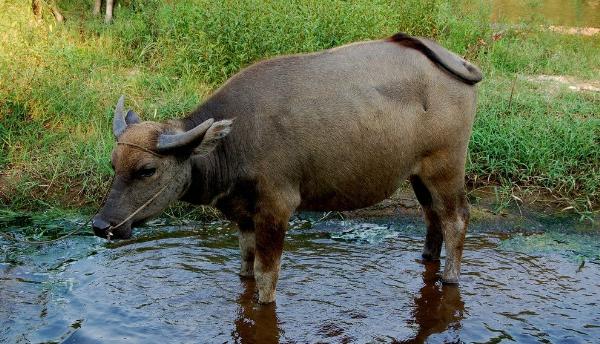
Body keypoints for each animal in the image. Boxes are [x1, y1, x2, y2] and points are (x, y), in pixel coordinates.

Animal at [91, 33, 482, 304]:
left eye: (147, 170)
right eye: (113, 164)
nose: (100, 224)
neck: (234, 141)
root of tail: (452, 61)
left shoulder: (276, 208)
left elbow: (266, 276)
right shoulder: (244, 215)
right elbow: (245, 265)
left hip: (446, 166)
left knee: (456, 219)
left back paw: (450, 278)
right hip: (418, 174)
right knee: (432, 217)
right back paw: (426, 259)